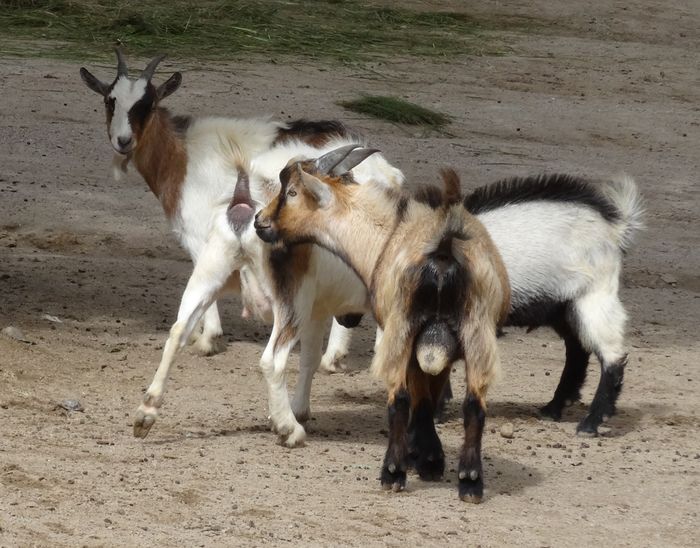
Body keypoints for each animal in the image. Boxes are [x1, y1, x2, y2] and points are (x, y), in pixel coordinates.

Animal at [254, 144, 512, 500]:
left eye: (291, 192)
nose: (260, 221)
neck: (386, 234)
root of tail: (444, 248)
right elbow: (430, 393)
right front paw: (430, 458)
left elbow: (417, 396)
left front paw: (421, 457)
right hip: (477, 331)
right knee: (475, 404)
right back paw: (471, 481)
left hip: (394, 327)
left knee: (396, 398)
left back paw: (389, 471)